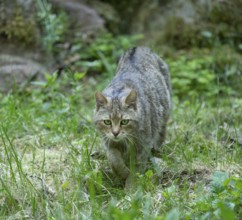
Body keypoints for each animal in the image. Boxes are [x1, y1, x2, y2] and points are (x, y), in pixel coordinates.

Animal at [93, 46, 172, 187]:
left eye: (124, 121)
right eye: (107, 122)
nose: (115, 133)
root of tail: (138, 47)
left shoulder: (142, 144)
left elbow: (136, 167)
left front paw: (131, 186)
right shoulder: (109, 142)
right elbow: (114, 159)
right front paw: (123, 172)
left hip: (164, 110)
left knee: (161, 132)